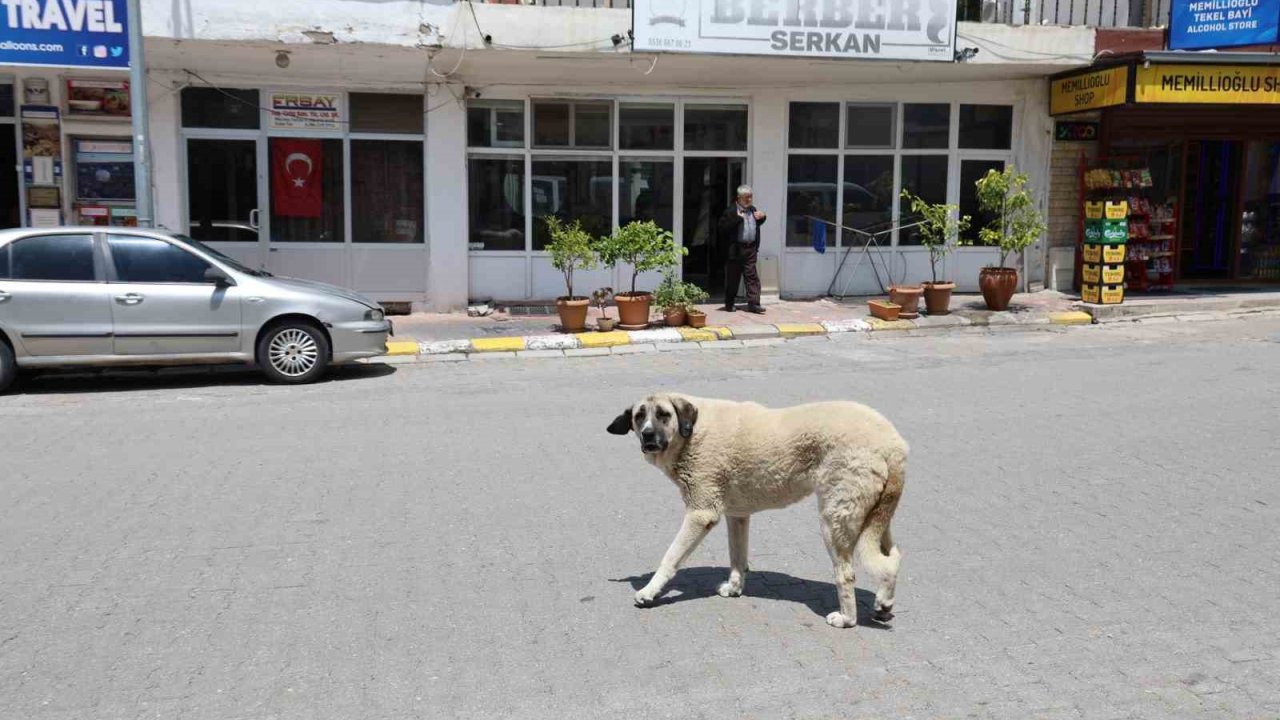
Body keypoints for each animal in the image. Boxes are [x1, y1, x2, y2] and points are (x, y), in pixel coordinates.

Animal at [609, 389, 911, 625]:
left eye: (663, 414)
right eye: (639, 417)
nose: (647, 435)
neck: (691, 432)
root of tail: (893, 444)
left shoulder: (700, 514)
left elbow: (670, 557)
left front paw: (649, 591)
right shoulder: (737, 516)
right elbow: (737, 557)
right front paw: (734, 588)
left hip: (835, 520)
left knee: (847, 574)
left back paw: (847, 618)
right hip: (875, 518)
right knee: (891, 559)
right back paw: (884, 603)